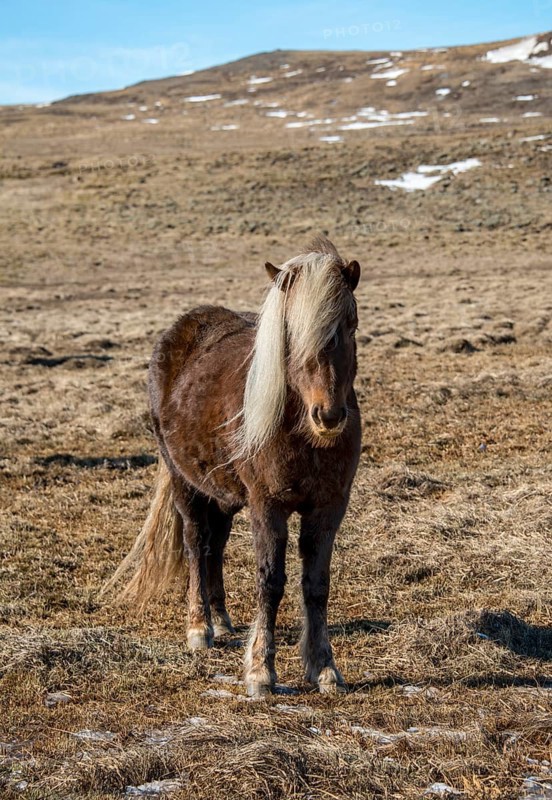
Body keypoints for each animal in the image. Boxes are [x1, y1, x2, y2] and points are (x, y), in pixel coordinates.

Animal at [105, 236, 361, 698]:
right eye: (290, 333)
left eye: (350, 324)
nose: (328, 415)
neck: (301, 432)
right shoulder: (267, 507)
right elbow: (270, 582)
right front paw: (261, 671)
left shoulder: (328, 508)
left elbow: (317, 585)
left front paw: (324, 668)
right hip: (185, 484)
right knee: (196, 543)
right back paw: (200, 628)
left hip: (220, 492)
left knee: (216, 545)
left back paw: (221, 620)